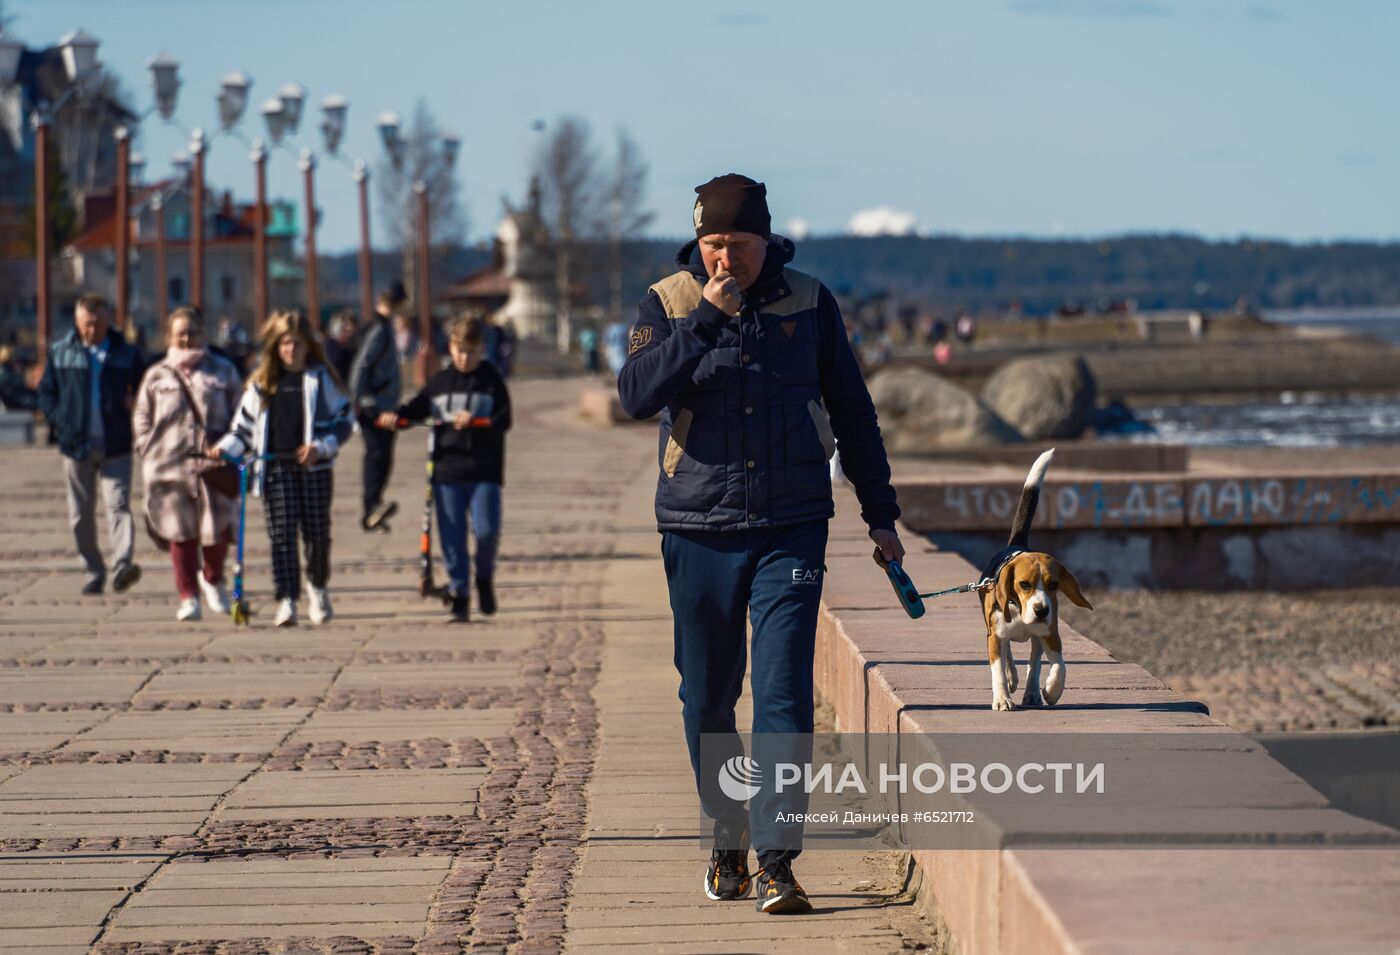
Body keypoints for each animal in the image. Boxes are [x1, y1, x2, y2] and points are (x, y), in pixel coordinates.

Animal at [974, 445, 1092, 705]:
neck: (1021, 612)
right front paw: (1002, 698)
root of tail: (1016, 545)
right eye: (1024, 585)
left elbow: (1060, 666)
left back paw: (1032, 691)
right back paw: (1012, 680)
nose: (1042, 610)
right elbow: (998, 668)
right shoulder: (994, 637)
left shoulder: (1051, 634)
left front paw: (1052, 690)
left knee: (1034, 662)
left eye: (1054, 585)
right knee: (1009, 656)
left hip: (1038, 637)